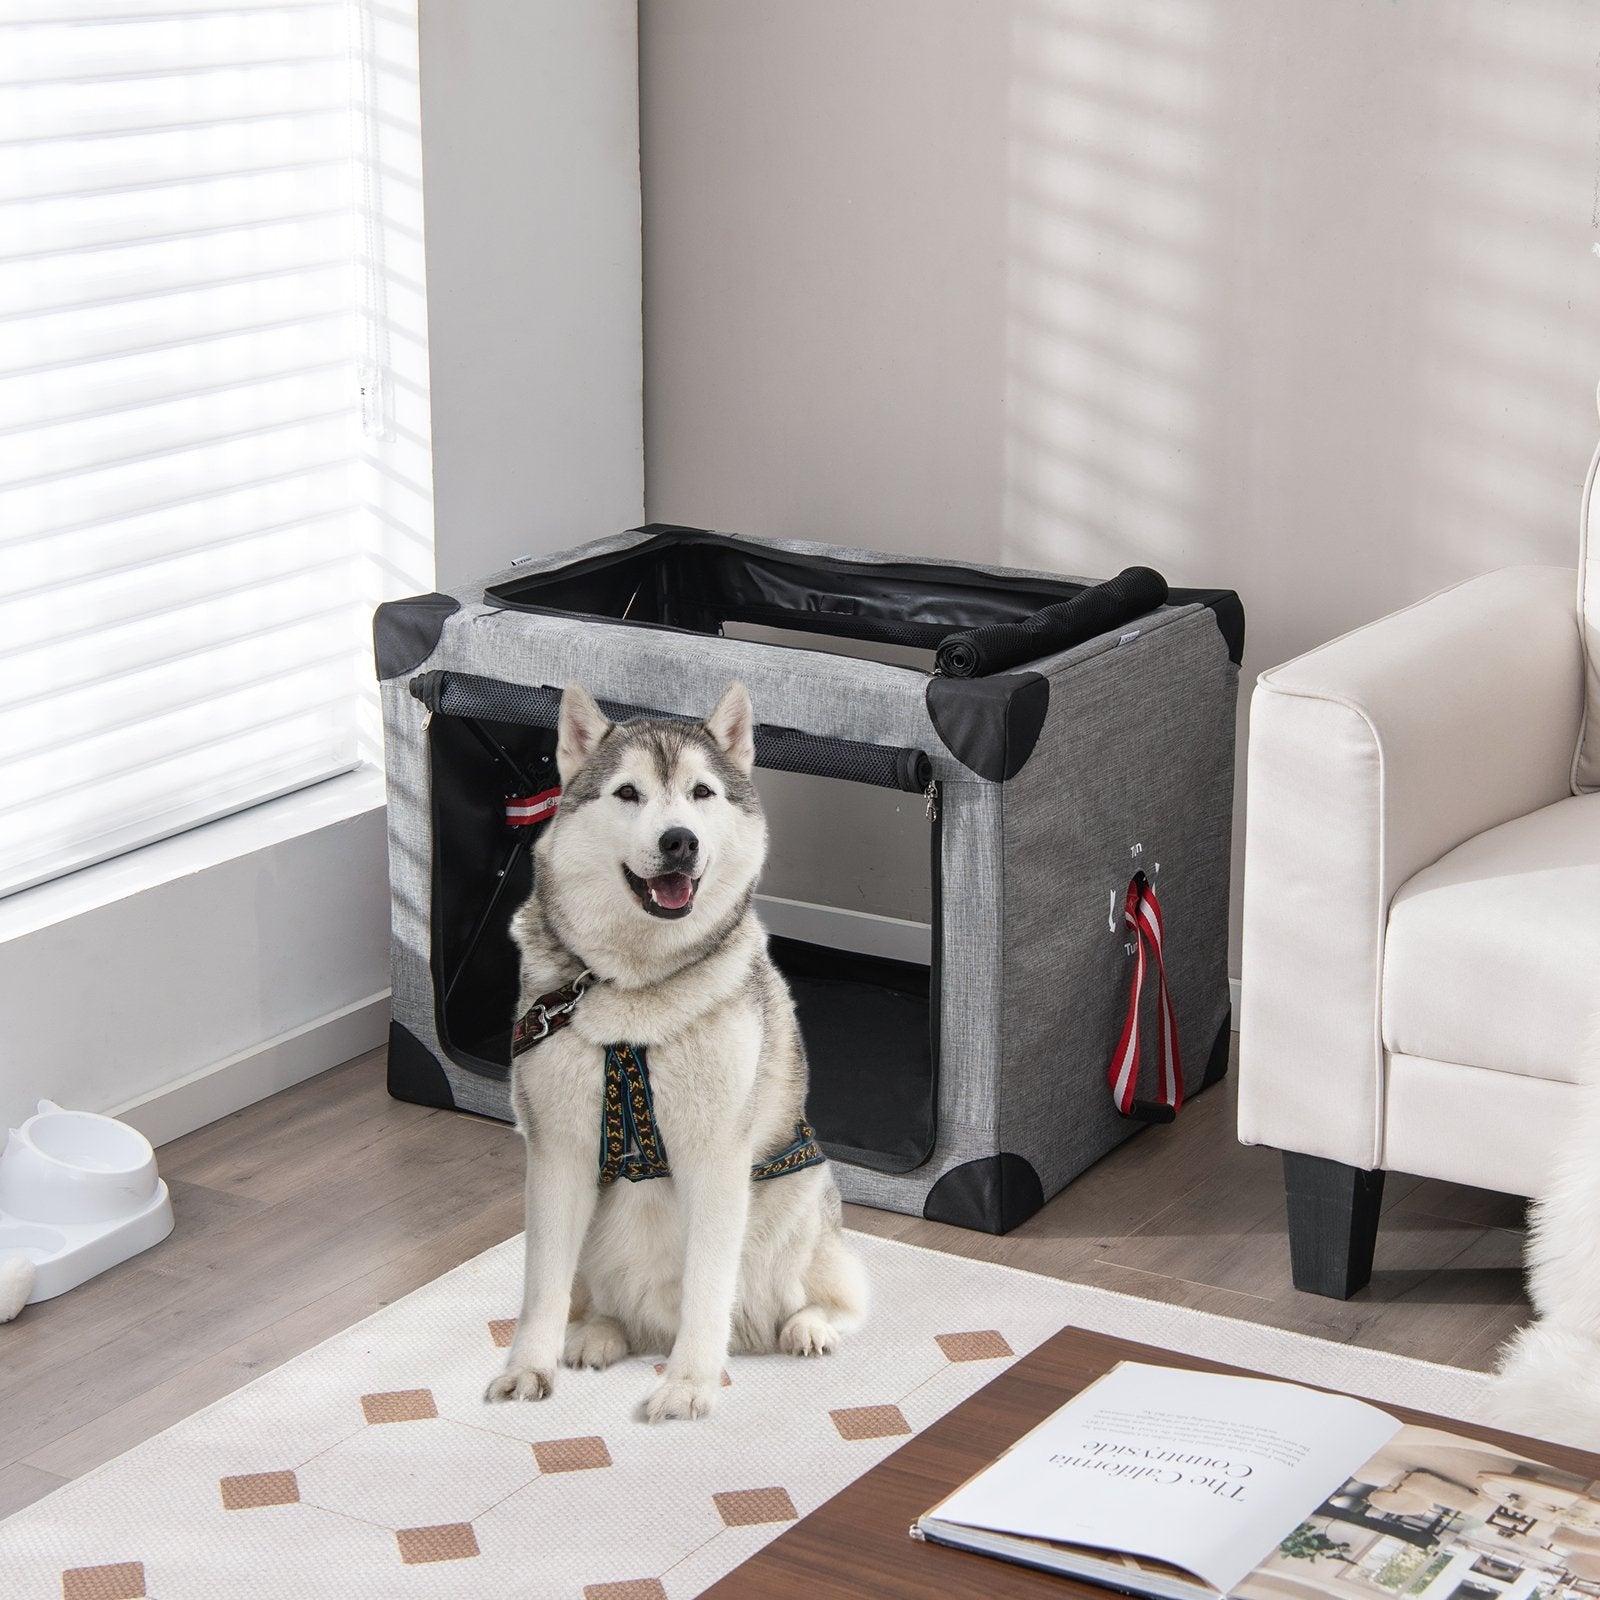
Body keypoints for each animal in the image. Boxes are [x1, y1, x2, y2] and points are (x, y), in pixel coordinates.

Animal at [486, 681, 870, 1420]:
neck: (634, 992)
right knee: (604, 1307)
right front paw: (529, 1368)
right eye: (628, 793)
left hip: (799, 1201)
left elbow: (707, 1286)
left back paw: (807, 1326)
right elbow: (541, 1289)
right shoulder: (556, 1156)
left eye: (700, 793)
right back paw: (599, 1334)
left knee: (833, 1294)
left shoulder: (715, 1157)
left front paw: (689, 1382)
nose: (679, 840)